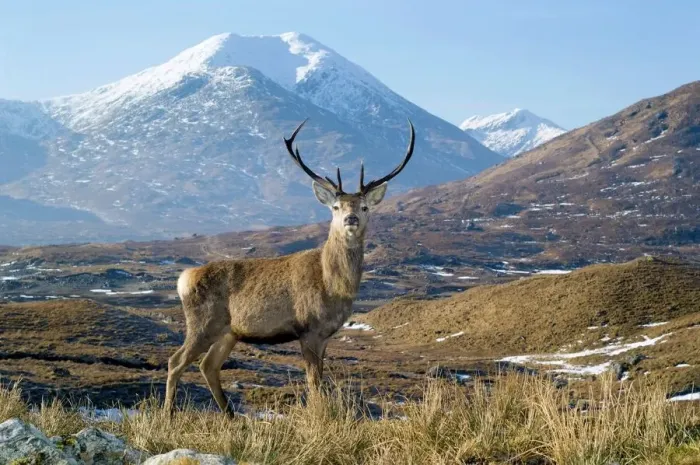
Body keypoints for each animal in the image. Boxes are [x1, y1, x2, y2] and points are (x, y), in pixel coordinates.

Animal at [164, 118, 415, 415]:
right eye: (336, 206)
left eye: (364, 207)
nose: (351, 218)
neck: (333, 286)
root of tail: (184, 279)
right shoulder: (308, 329)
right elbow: (314, 383)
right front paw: (319, 416)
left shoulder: (326, 334)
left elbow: (320, 380)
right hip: (202, 322)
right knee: (175, 361)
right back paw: (168, 414)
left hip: (229, 331)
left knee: (208, 365)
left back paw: (231, 416)